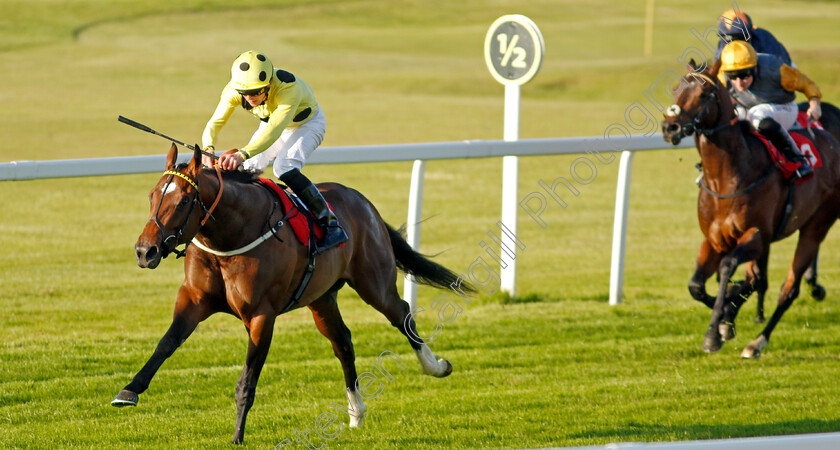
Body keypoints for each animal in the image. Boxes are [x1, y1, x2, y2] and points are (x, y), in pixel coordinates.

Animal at [110, 144, 472, 442]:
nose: (145, 251)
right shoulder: (194, 300)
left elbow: (247, 380)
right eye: (152, 195)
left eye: (184, 200)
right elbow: (166, 344)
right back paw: (356, 412)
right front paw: (128, 391)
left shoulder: (261, 315)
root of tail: (363, 202)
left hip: (374, 283)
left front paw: (237, 436)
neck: (230, 236)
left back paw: (435, 366)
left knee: (402, 313)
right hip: (321, 299)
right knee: (343, 342)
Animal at [664, 59, 840, 358]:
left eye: (703, 94)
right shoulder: (713, 239)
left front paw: (714, 332)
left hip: (817, 224)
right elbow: (696, 286)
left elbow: (728, 268)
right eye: (677, 89)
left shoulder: (757, 234)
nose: (670, 127)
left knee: (789, 289)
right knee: (760, 278)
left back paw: (758, 341)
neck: (727, 177)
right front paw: (727, 315)